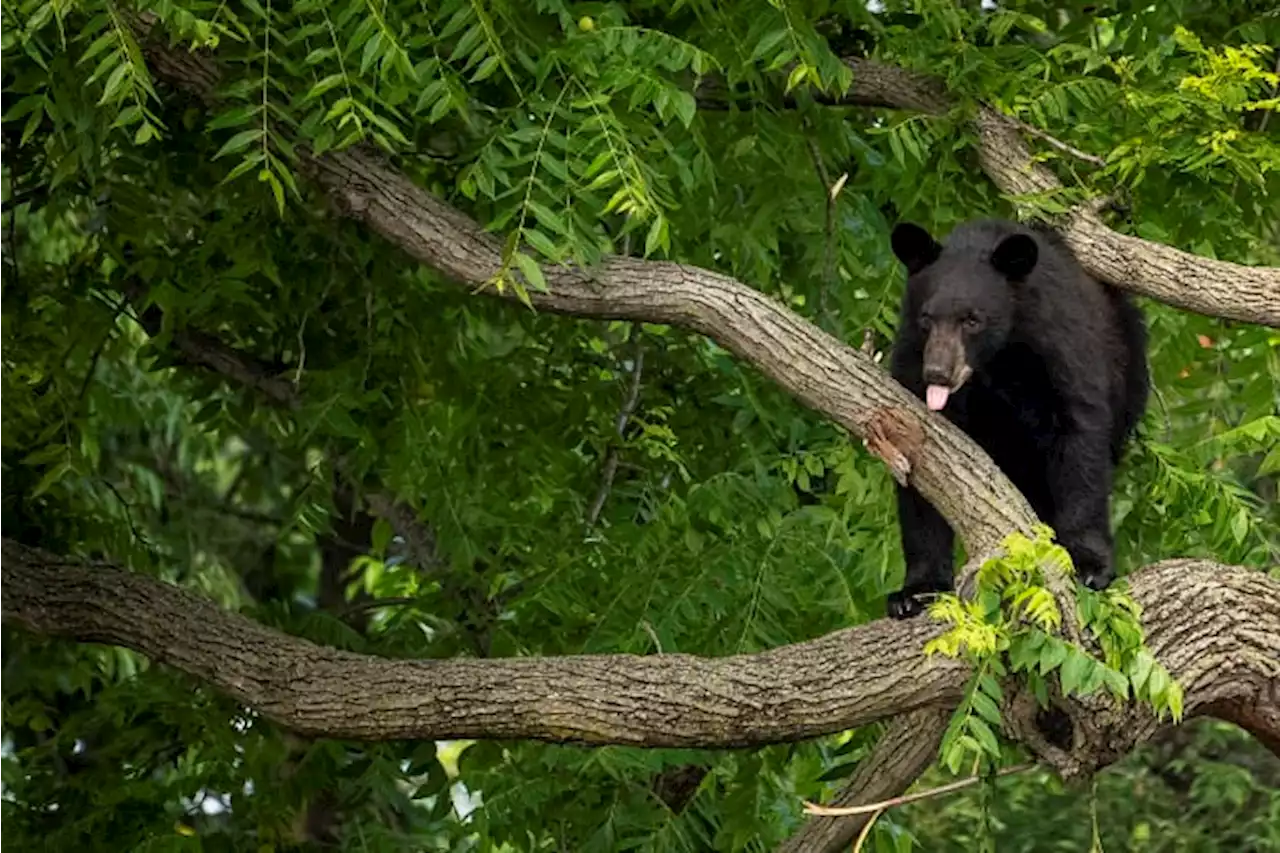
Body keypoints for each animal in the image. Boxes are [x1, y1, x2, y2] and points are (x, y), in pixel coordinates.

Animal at [880, 217, 1152, 617]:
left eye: (972, 320)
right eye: (927, 318)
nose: (938, 374)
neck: (997, 360)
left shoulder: (1058, 348)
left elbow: (1079, 440)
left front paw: (1088, 564)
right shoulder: (912, 361)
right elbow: (920, 469)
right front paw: (915, 591)